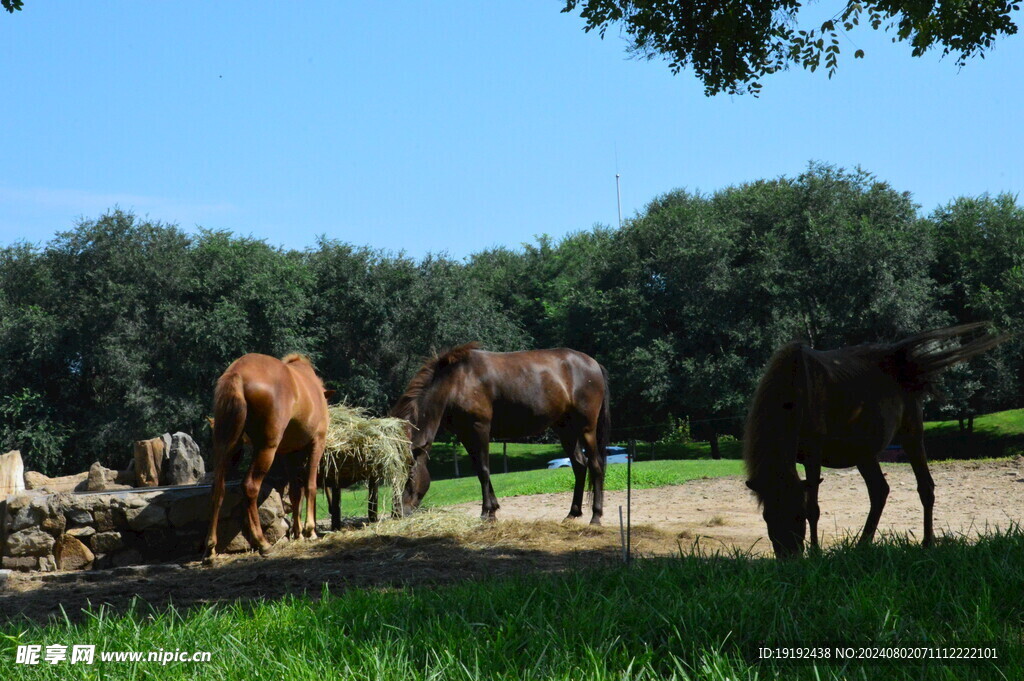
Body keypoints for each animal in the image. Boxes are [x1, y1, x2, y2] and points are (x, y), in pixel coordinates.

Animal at [204, 352, 335, 557]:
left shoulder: (289, 453)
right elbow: (311, 485)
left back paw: (210, 548)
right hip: (266, 448)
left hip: (226, 447)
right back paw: (262, 543)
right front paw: (310, 530)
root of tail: (238, 373)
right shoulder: (317, 443)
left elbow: (296, 492)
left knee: (217, 488)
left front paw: (298, 532)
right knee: (250, 486)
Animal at [391, 342, 610, 522]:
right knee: (579, 465)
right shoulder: (465, 434)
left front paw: (487, 512)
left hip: (586, 428)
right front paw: (493, 509)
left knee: (596, 466)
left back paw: (596, 516)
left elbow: (484, 470)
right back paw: (573, 513)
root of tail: (593, 364)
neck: (455, 381)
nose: (398, 512)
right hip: (565, 429)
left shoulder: (479, 429)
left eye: (410, 474)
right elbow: (479, 470)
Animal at [745, 323, 1007, 557]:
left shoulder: (813, 454)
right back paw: (862, 544)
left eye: (797, 515)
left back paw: (927, 543)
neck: (797, 388)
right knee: (879, 490)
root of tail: (901, 361)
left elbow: (814, 508)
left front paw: (817, 554)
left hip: (911, 433)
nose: (789, 557)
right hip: (864, 453)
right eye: (767, 515)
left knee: (925, 487)